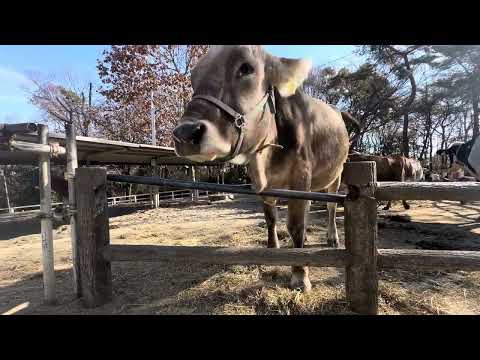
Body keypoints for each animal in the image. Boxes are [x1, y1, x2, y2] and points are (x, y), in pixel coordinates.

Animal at [174, 45, 358, 292]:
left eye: (246, 68)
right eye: (193, 78)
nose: (185, 133)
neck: (266, 158)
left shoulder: (300, 176)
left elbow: (296, 225)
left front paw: (300, 275)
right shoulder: (260, 182)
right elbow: (270, 218)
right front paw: (272, 249)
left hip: (336, 174)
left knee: (330, 207)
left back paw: (332, 238)